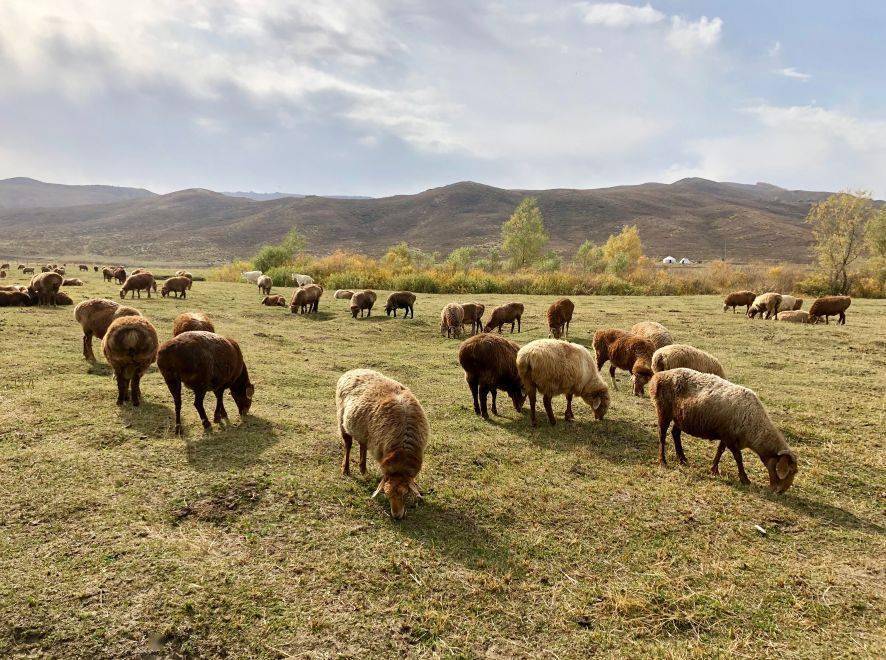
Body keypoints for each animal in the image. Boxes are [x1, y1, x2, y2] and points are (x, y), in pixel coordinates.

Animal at [334, 368, 428, 520]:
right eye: (387, 495)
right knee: (348, 445)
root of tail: (353, 370)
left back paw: (363, 469)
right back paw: (346, 469)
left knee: (362, 445)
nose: (396, 516)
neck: (402, 450)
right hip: (342, 420)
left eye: (405, 494)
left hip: (363, 430)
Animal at [648, 368, 800, 492]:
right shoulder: (730, 438)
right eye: (789, 470)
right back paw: (663, 461)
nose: (780, 492)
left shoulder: (726, 434)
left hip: (680, 417)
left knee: (675, 433)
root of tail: (657, 376)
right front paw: (744, 478)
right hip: (663, 410)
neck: (754, 427)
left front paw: (714, 469)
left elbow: (719, 451)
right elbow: (738, 457)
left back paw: (683, 459)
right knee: (662, 435)